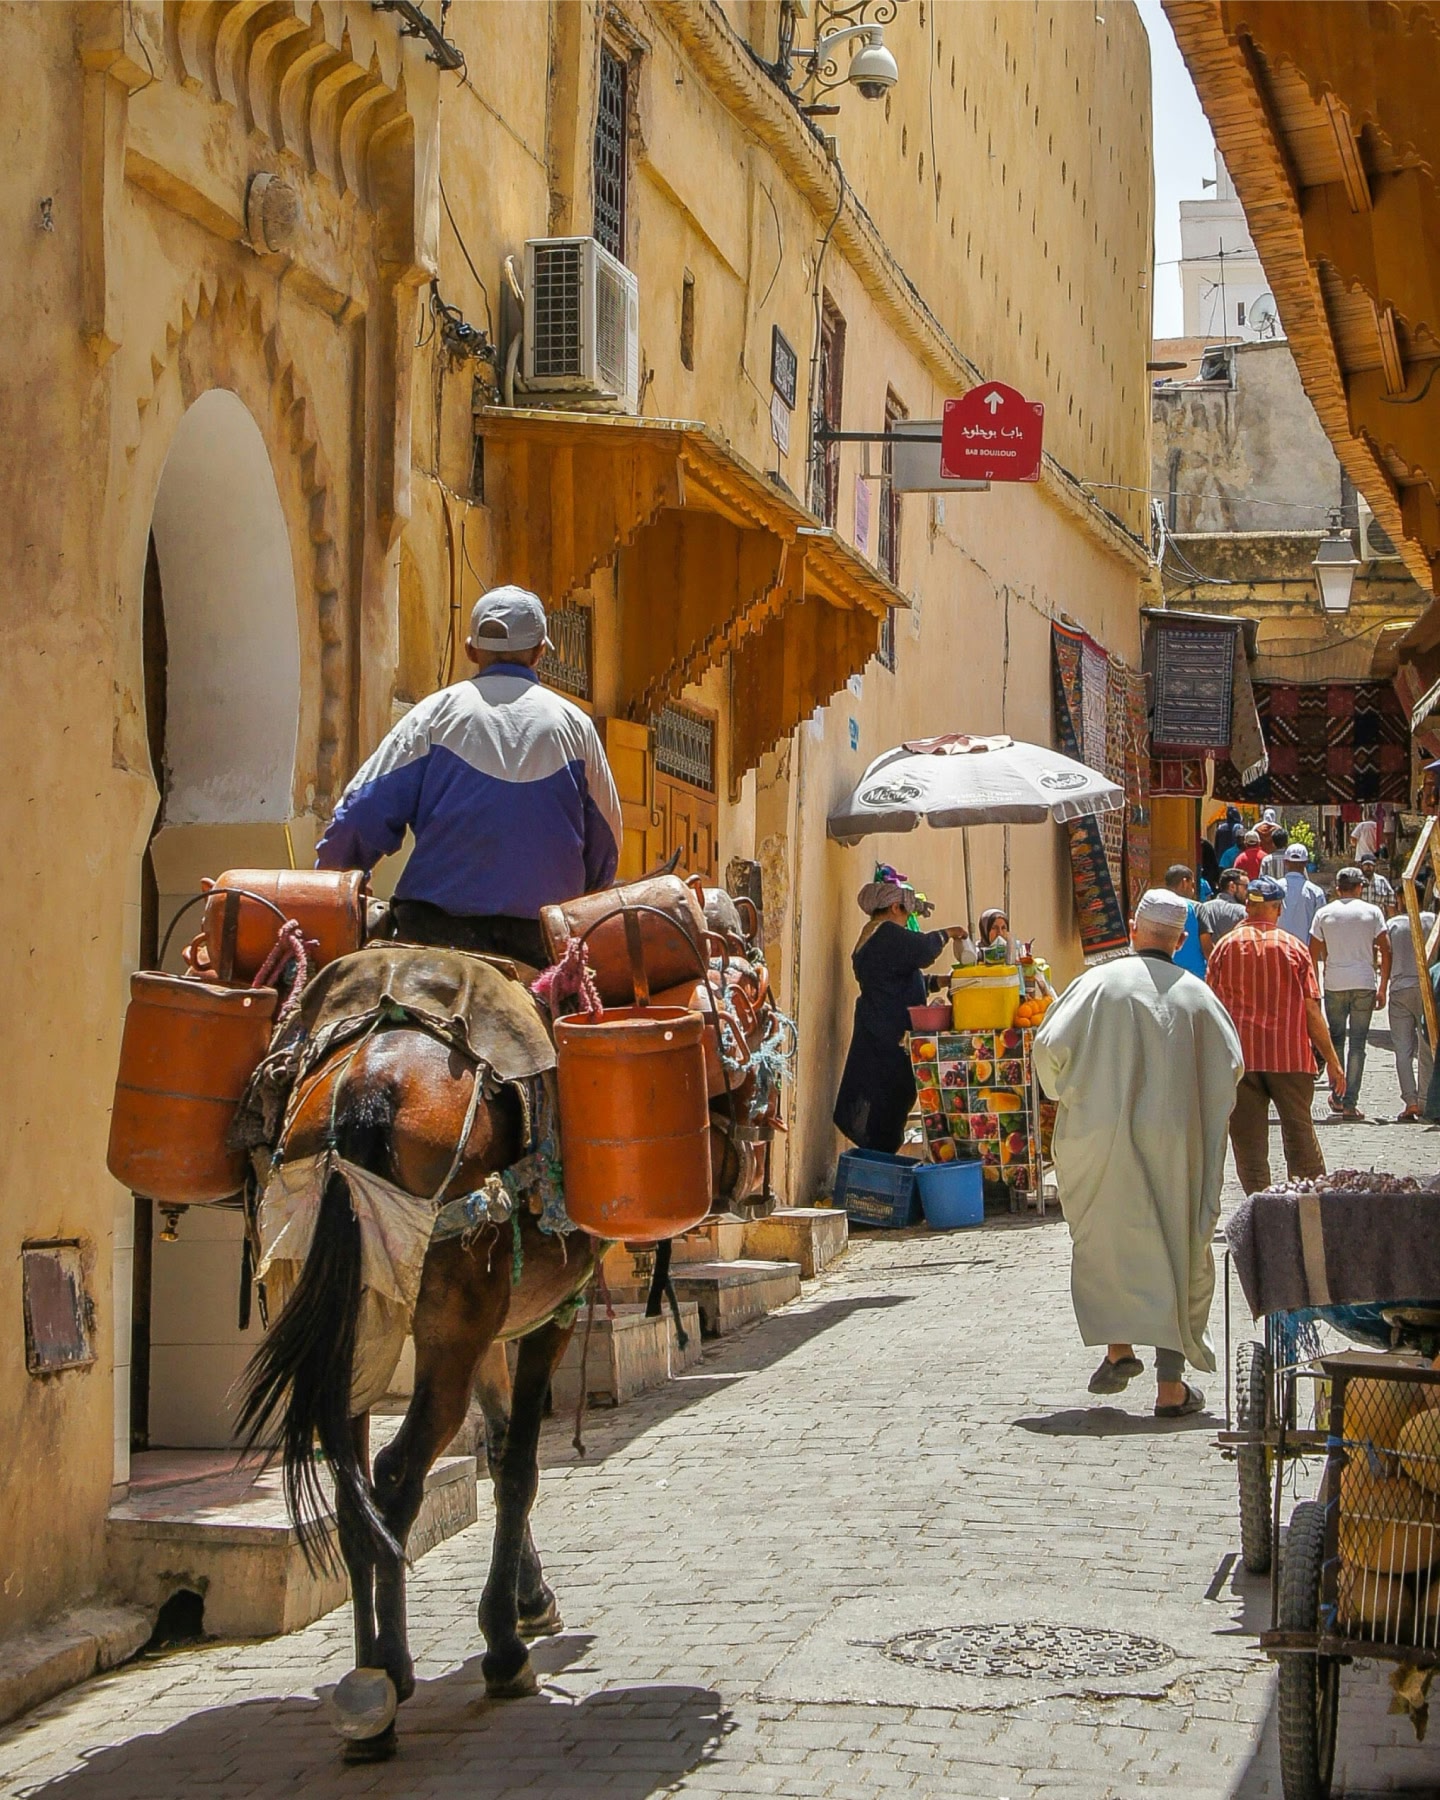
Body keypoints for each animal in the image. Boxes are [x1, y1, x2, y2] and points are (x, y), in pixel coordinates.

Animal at [237, 1021, 598, 1758]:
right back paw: (391, 1679)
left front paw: (530, 1597)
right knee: (398, 1474)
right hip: (448, 1321)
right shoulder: (547, 1314)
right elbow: (517, 1467)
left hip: (348, 1323)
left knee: (353, 1490)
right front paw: (504, 1643)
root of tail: (369, 1082)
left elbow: (495, 1447)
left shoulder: (489, 1335)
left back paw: (375, 1674)